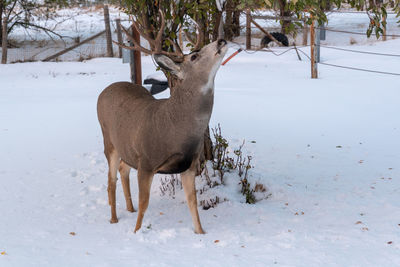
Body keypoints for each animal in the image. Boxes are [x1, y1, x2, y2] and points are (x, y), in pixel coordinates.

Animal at [97, 12, 228, 234]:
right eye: (194, 56)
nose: (221, 40)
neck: (177, 129)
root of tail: (105, 90)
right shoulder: (146, 161)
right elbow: (145, 202)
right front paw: (136, 232)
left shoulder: (189, 164)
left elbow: (193, 202)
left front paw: (201, 233)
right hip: (109, 140)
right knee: (110, 180)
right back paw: (114, 219)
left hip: (127, 147)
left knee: (123, 168)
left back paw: (129, 208)